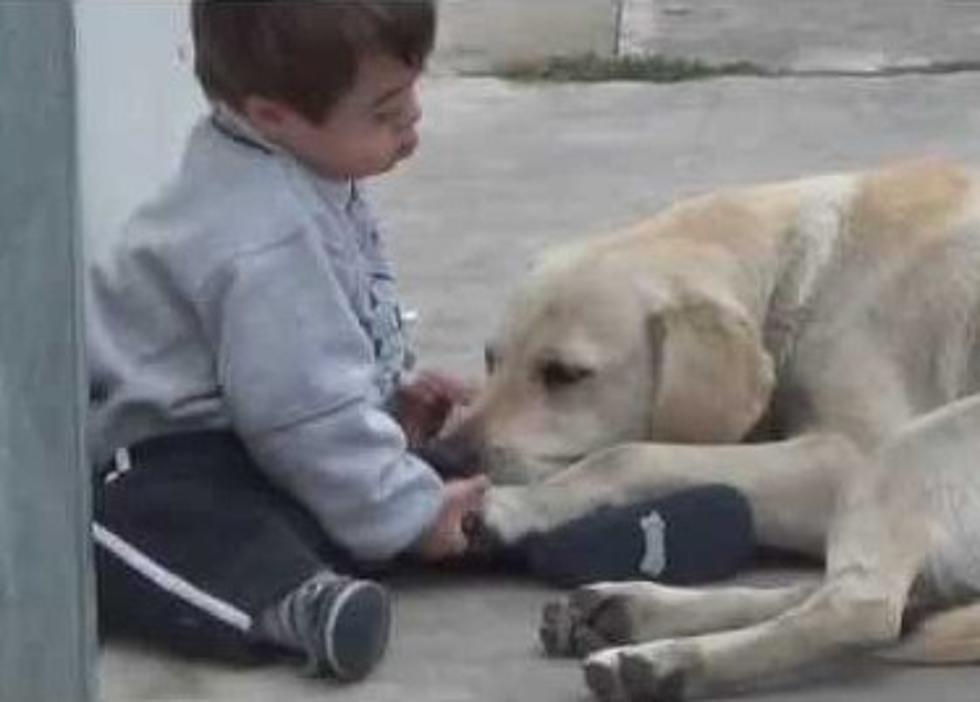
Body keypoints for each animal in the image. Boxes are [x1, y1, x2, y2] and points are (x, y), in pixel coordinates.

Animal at [446, 161, 980, 702]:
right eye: (491, 359)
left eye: (564, 374)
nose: (442, 453)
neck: (806, 273)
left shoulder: (847, 450)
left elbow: (630, 454)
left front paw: (519, 507)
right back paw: (630, 611)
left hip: (907, 449)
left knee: (865, 608)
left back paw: (669, 661)